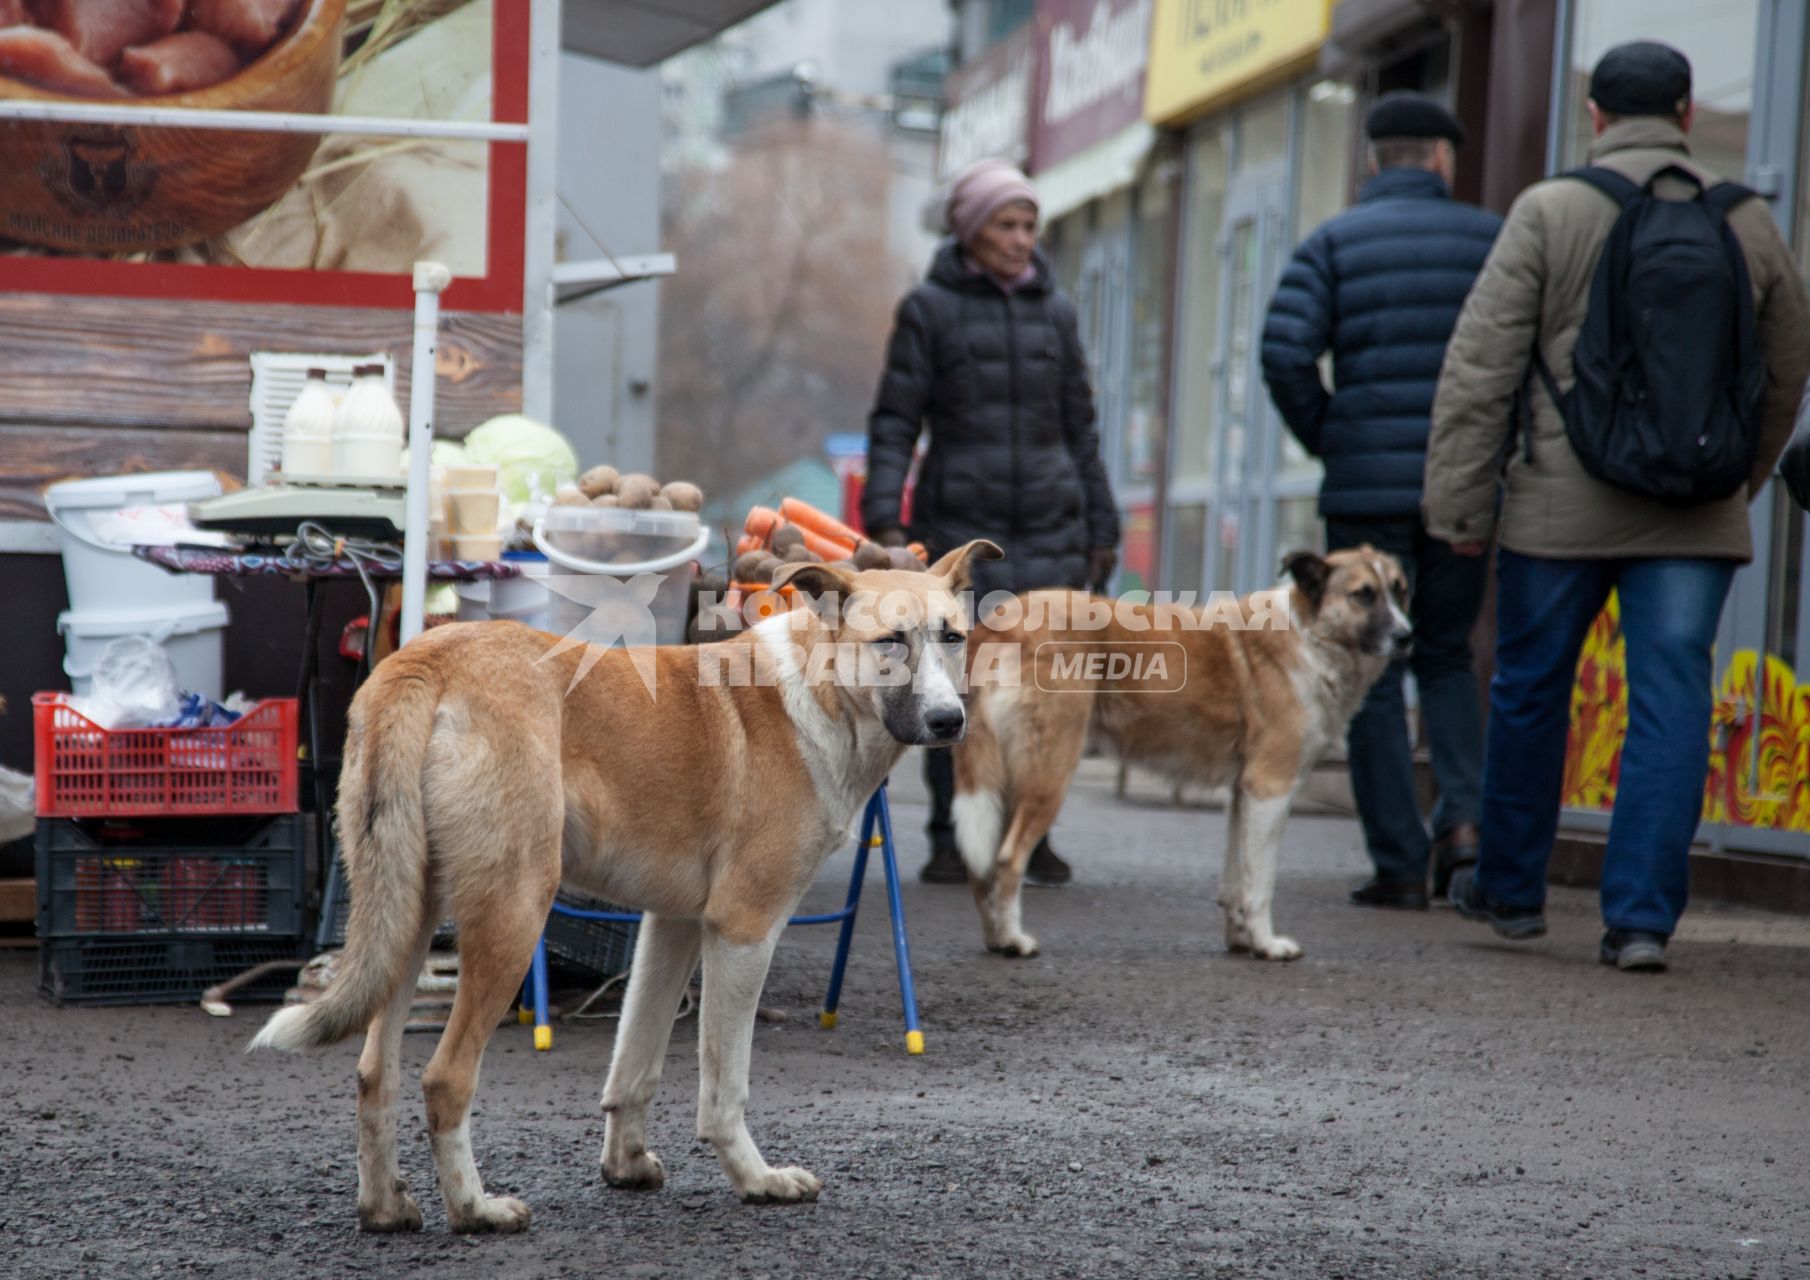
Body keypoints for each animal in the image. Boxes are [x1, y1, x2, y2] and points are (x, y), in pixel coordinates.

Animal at [247, 539, 999, 1231]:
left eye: (952, 637)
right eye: (890, 642)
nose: (949, 722)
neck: (819, 696)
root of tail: (429, 658)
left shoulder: (673, 927)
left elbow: (635, 1064)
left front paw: (625, 1166)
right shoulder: (744, 931)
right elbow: (724, 1087)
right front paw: (756, 1179)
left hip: (407, 912)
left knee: (375, 1073)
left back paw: (385, 1208)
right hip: (514, 913)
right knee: (445, 1078)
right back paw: (476, 1210)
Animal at [955, 546, 1404, 963]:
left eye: (1399, 589)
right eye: (1363, 595)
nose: (1406, 636)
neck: (1309, 637)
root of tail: (1001, 622)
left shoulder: (1243, 795)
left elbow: (1235, 881)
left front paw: (1241, 940)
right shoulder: (1270, 791)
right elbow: (1260, 884)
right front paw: (1267, 945)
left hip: (1006, 783)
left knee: (981, 864)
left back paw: (995, 939)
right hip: (1049, 774)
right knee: (1008, 859)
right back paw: (1013, 940)